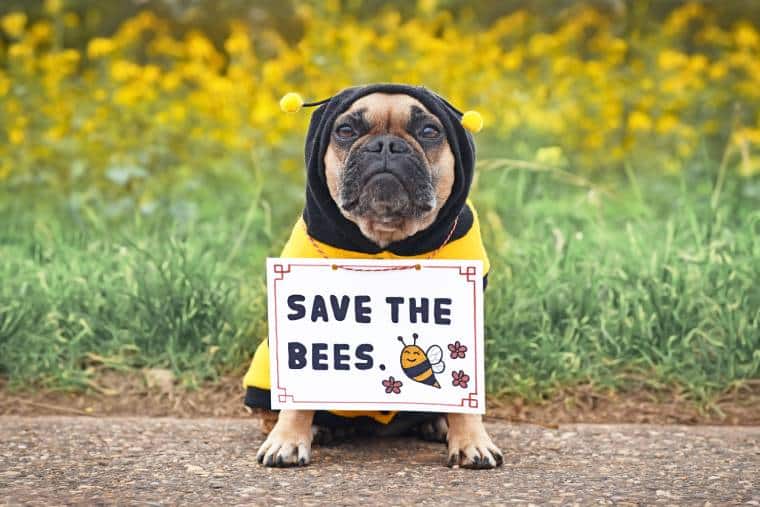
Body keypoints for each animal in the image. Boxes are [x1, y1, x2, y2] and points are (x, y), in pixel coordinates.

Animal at [243, 83, 502, 468]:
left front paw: (472, 441)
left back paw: (438, 423)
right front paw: (287, 439)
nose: (385, 145)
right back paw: (320, 428)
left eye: (429, 131)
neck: (385, 239)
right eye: (346, 130)